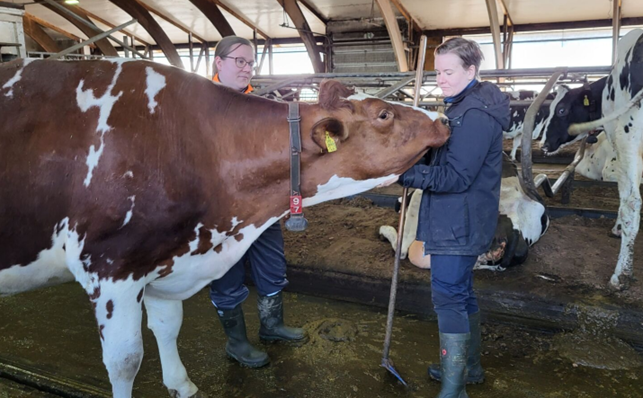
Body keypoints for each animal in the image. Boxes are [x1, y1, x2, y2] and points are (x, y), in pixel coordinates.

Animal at [0, 59, 450, 398]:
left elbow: (168, 325)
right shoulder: (111, 266)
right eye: (384, 114)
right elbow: (125, 360)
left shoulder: (165, 256)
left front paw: (182, 384)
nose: (444, 117)